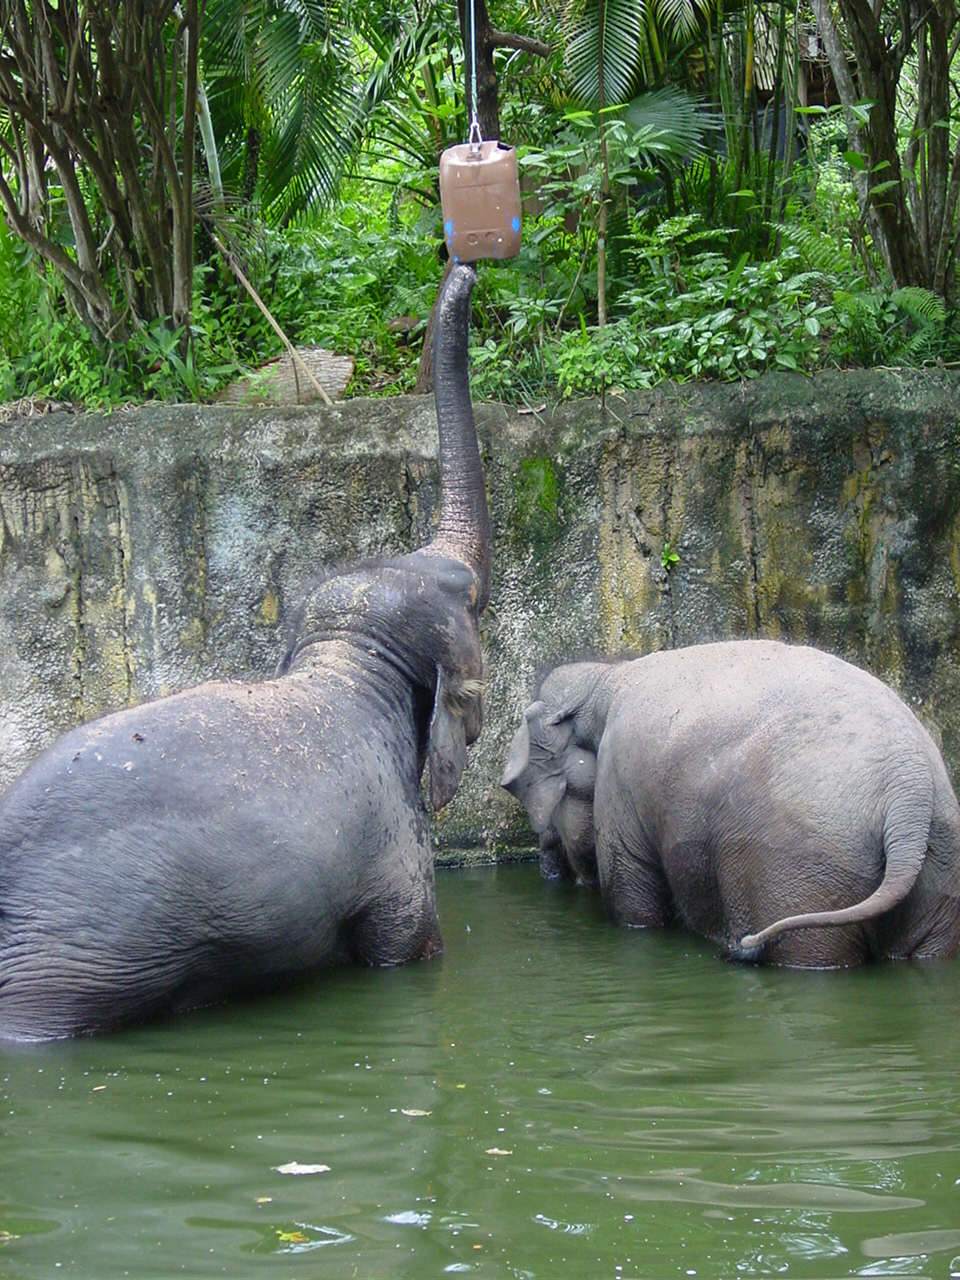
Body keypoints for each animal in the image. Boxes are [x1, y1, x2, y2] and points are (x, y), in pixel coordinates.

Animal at [1, 262, 488, 1039]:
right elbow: (407, 948)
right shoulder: (394, 847)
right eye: (469, 597)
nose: (466, 263)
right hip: (57, 980)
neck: (346, 662)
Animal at [504, 645, 960, 962]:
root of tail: (910, 789)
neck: (607, 678)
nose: (550, 874)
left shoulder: (620, 781)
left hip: (800, 867)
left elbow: (632, 899)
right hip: (938, 866)